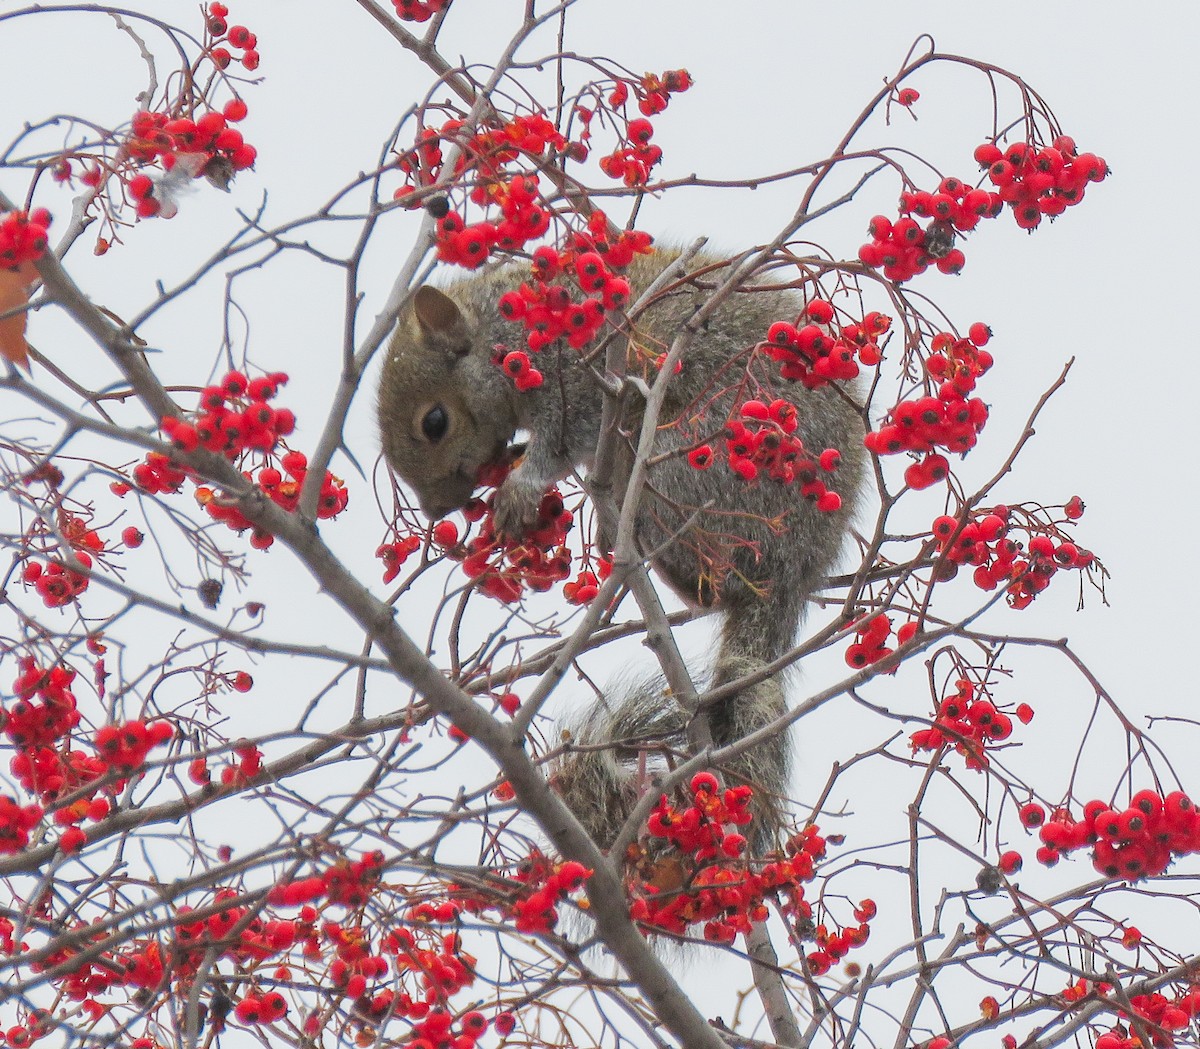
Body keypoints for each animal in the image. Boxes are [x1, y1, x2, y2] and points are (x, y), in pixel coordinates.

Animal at [378, 245, 865, 854]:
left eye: (435, 421)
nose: (437, 510)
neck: (502, 328)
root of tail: (795, 568)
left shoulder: (577, 380)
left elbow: (562, 440)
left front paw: (522, 485)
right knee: (709, 591)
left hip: (688, 459)